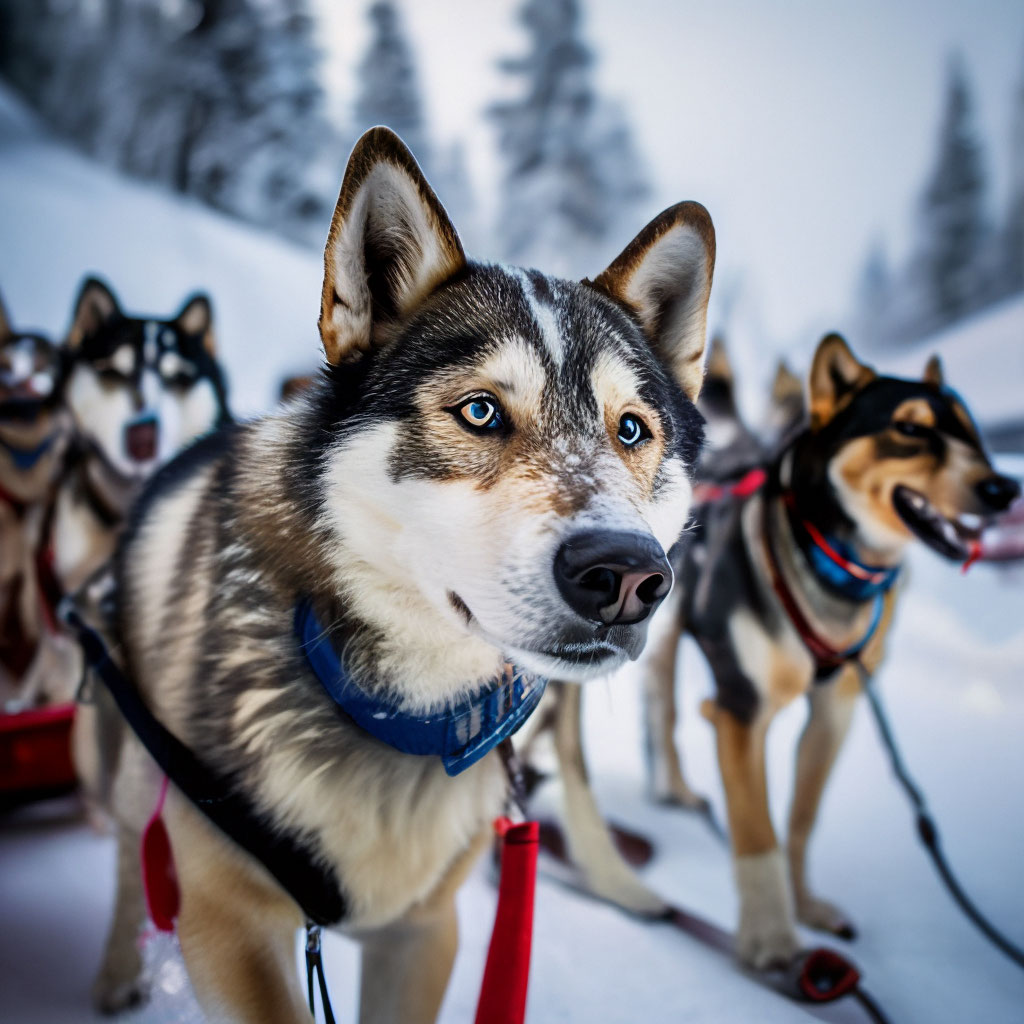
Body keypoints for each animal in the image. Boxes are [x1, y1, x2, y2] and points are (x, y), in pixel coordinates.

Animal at [79, 130, 716, 1024]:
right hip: (125, 761)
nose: (625, 575)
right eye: (480, 412)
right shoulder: (231, 928)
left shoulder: (424, 933)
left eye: (631, 430)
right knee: (128, 862)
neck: (396, 717)